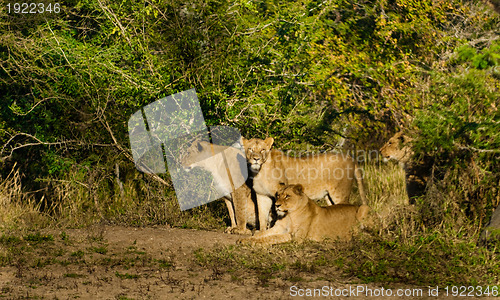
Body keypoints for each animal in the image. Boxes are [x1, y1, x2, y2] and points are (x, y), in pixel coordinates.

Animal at [238, 184, 372, 245]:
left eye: (287, 196)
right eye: (278, 195)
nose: (276, 205)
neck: (289, 215)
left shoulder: (296, 237)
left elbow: (273, 237)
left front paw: (255, 242)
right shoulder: (278, 228)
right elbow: (262, 234)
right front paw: (246, 240)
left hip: (364, 208)